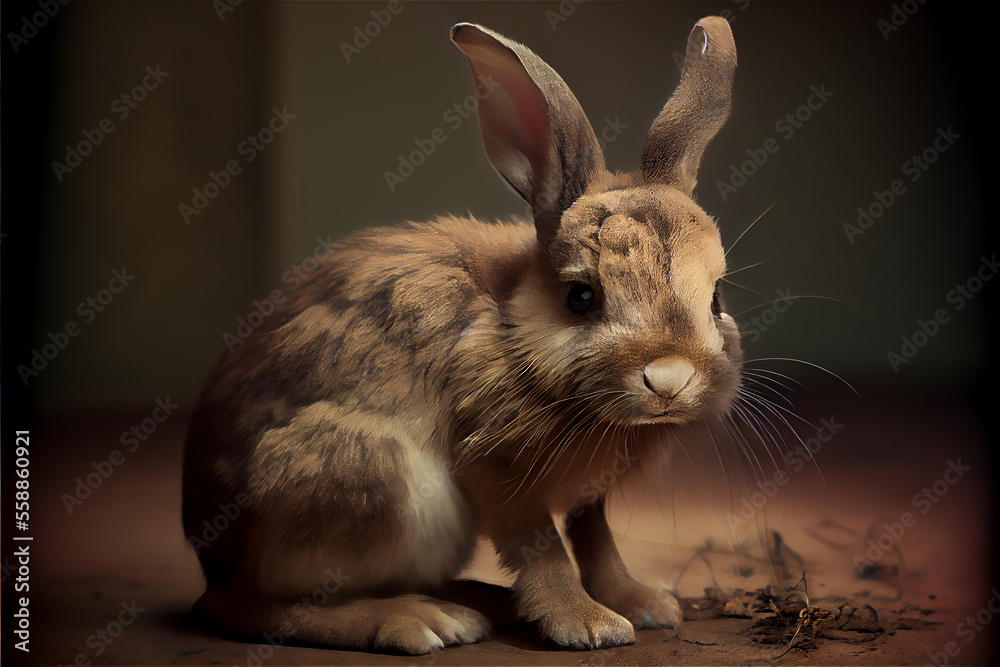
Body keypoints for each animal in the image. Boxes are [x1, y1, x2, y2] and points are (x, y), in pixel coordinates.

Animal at [182, 15, 741, 655]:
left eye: (716, 298)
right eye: (581, 297)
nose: (670, 379)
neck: (512, 326)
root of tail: (211, 558)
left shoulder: (588, 496)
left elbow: (596, 539)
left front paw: (645, 605)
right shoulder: (499, 469)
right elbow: (544, 550)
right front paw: (588, 626)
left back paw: (480, 603)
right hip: (373, 481)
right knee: (265, 606)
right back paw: (423, 622)